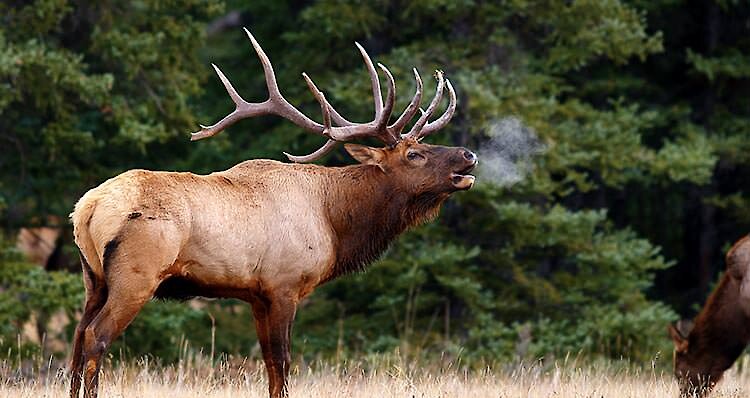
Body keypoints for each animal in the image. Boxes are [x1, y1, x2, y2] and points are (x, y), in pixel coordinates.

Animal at [70, 29, 478, 398]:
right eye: (414, 154)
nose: (468, 154)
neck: (335, 221)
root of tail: (87, 207)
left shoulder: (256, 295)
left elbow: (267, 363)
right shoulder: (285, 284)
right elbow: (282, 362)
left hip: (94, 278)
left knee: (76, 338)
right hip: (136, 274)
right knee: (95, 336)